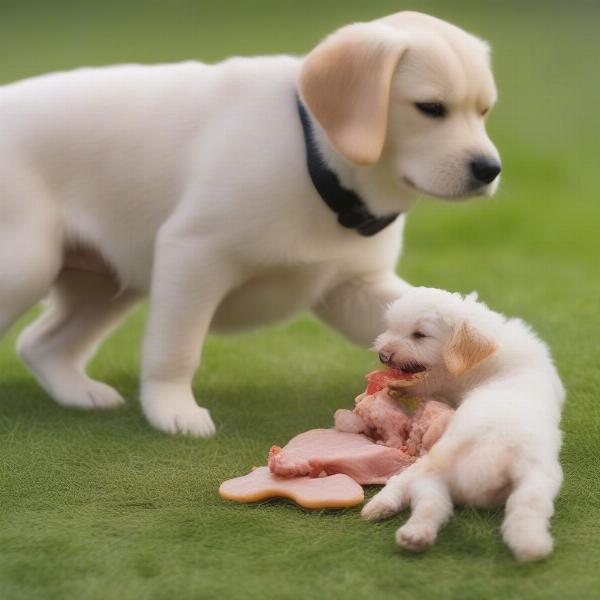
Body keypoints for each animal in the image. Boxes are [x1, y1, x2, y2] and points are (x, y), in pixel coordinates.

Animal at [0, 12, 502, 436]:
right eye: (430, 108)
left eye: (484, 111)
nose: (490, 169)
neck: (314, 159)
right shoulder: (192, 255)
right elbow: (175, 348)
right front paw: (173, 410)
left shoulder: (354, 288)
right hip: (27, 266)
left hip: (106, 282)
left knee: (40, 344)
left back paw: (80, 392)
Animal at [360, 290, 568, 564]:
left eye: (420, 335)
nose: (383, 355)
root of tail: (484, 463)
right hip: (528, 483)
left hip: (434, 468)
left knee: (412, 492)